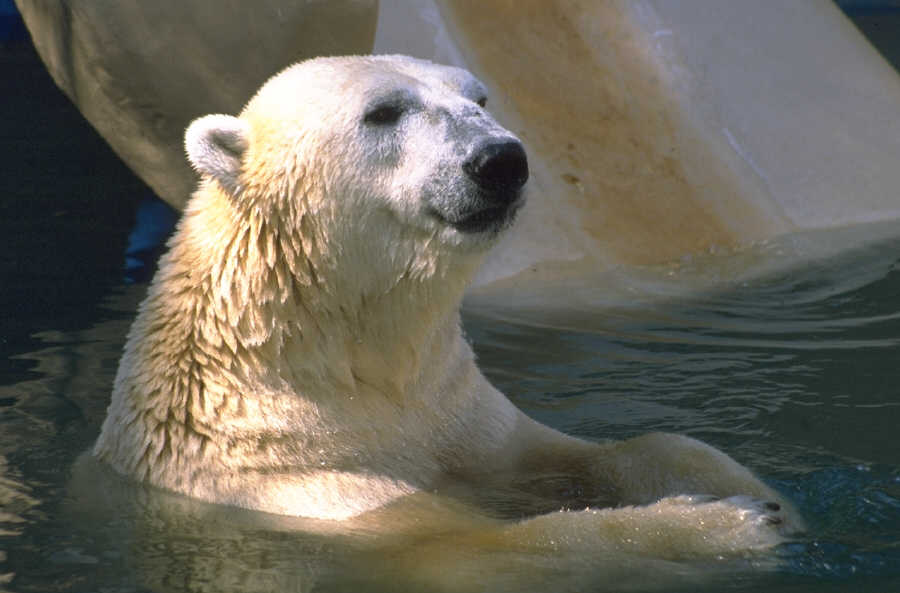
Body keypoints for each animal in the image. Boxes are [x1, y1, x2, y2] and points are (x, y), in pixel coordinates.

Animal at [92, 54, 799, 559]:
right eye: (383, 111)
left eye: (478, 98)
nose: (500, 159)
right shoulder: (298, 485)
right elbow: (500, 543)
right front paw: (722, 524)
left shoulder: (458, 415)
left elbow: (592, 453)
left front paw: (764, 495)